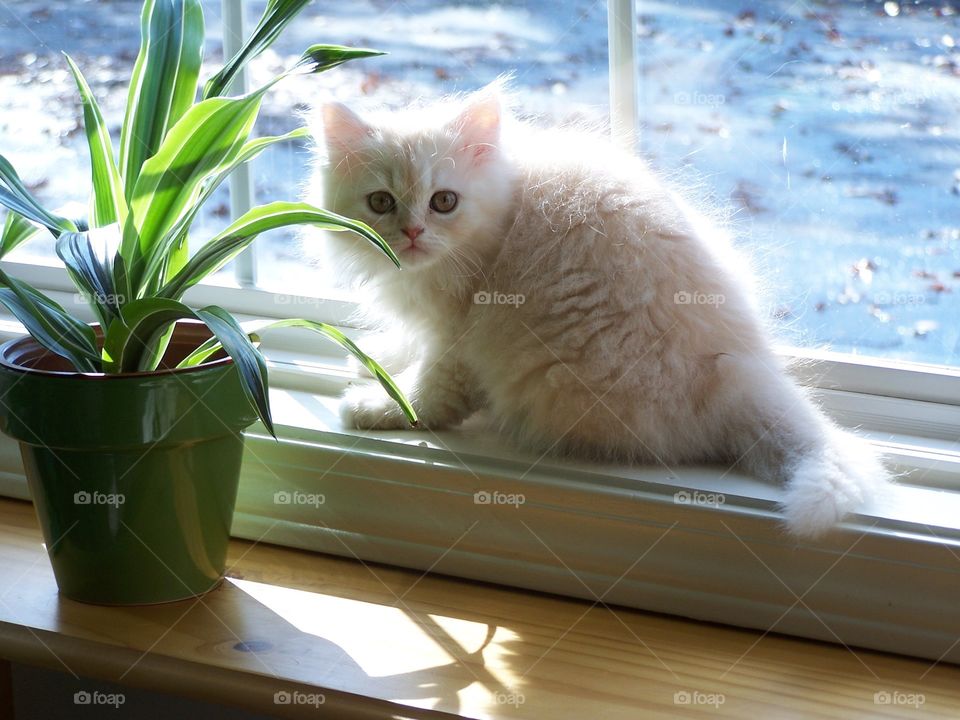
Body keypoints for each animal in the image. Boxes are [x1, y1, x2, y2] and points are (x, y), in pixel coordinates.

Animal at [304, 83, 888, 536]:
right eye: (381, 202)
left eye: (443, 201)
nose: (412, 233)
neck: (504, 207)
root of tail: (735, 372)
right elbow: (406, 345)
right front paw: (376, 358)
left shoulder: (463, 333)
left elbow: (429, 392)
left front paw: (380, 403)